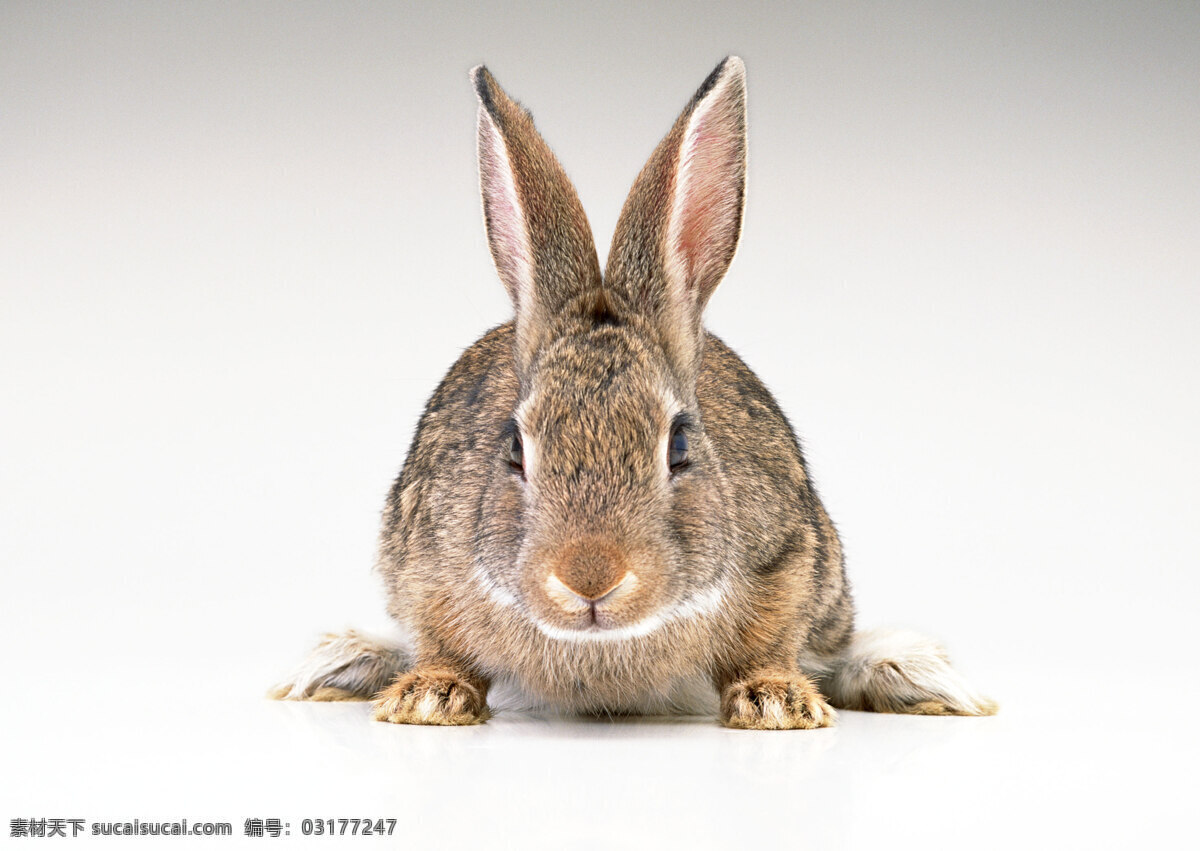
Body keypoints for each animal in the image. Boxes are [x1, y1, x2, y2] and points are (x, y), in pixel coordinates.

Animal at [272, 56, 993, 724]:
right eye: (515, 449)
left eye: (678, 446)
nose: (590, 577)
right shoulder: (425, 562)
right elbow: (442, 640)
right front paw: (429, 698)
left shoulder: (788, 557)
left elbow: (768, 643)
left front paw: (776, 703)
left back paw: (916, 676)